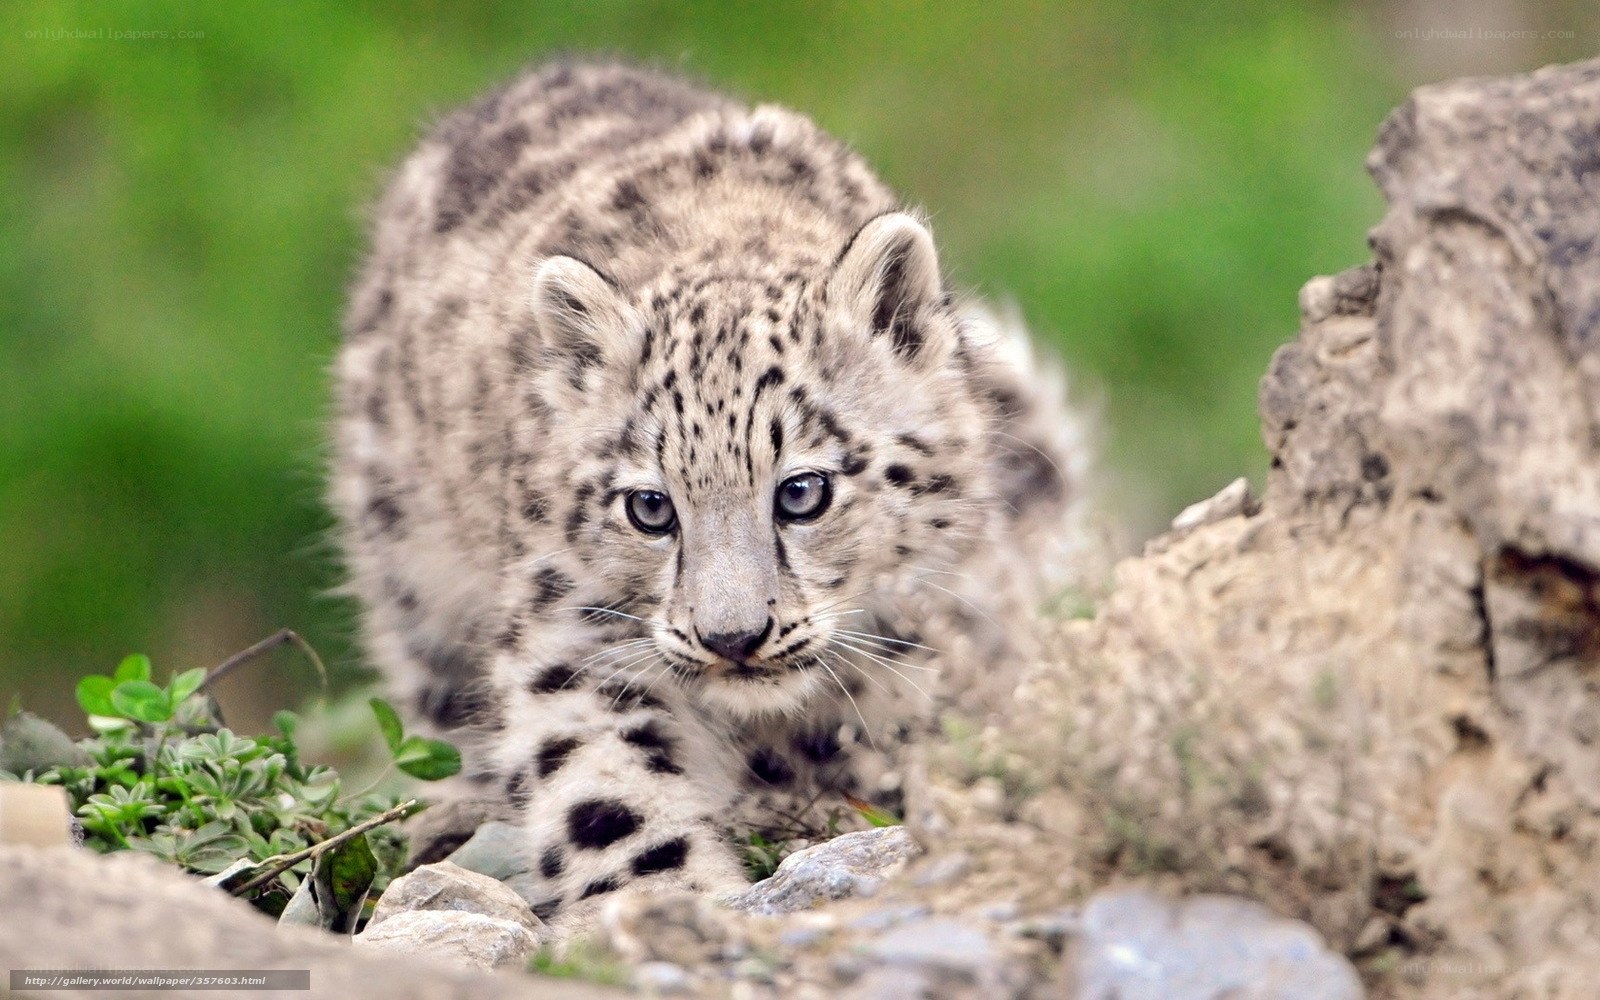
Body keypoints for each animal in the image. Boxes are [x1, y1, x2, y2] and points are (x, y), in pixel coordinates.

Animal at [332, 57, 1089, 924]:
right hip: (410, 568)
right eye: (650, 507)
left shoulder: (924, 622)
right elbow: (602, 785)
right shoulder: (569, 629)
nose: (732, 637)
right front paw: (667, 898)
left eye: (802, 491)